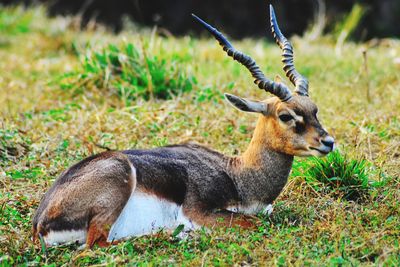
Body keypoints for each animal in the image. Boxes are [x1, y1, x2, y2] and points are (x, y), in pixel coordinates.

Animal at [32, 4, 334, 249]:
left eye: (314, 109)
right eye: (286, 115)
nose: (328, 142)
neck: (240, 174)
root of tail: (39, 223)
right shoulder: (199, 211)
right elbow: (254, 223)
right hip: (118, 182)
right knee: (97, 243)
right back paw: (175, 234)